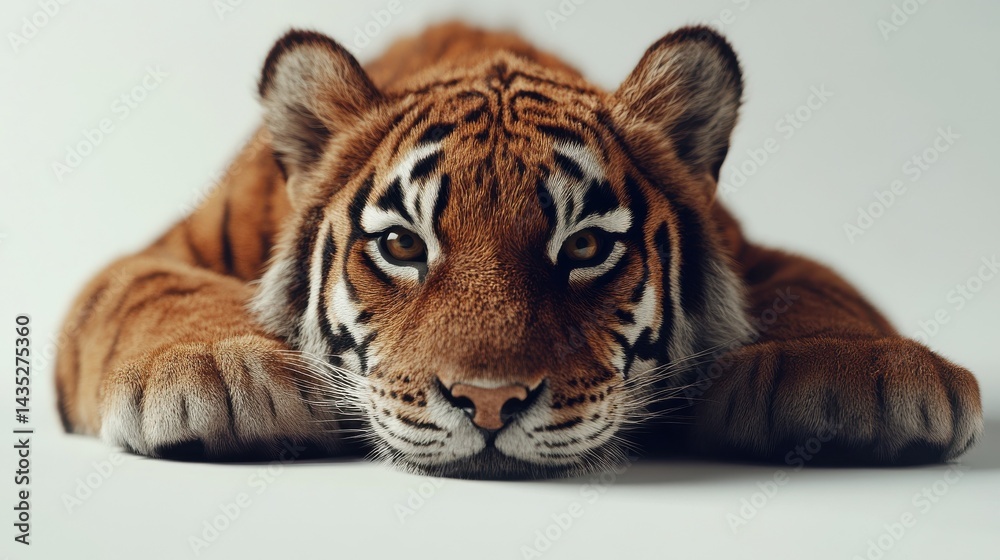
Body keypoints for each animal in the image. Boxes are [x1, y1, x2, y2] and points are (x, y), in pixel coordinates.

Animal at [55, 22, 983, 479]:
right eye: (402, 244)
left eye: (585, 247)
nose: (490, 403)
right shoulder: (160, 251)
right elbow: (150, 291)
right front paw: (219, 376)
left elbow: (822, 286)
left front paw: (861, 380)